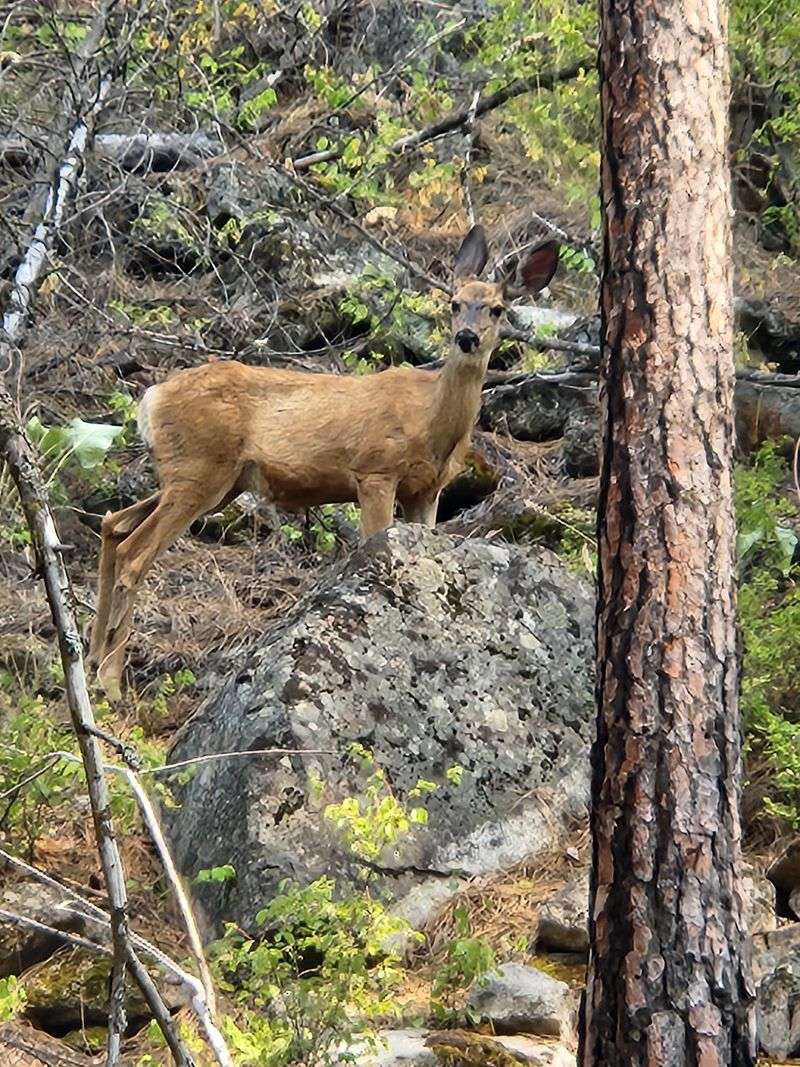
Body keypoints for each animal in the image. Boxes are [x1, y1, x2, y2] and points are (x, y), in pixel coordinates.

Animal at [88, 225, 560, 698]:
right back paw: (110, 681)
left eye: (497, 309)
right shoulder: (375, 470)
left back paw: (92, 660)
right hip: (200, 469)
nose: (467, 337)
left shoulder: (428, 491)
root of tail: (152, 397)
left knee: (114, 523)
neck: (432, 424)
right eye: (454, 303)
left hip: (211, 480)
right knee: (134, 552)